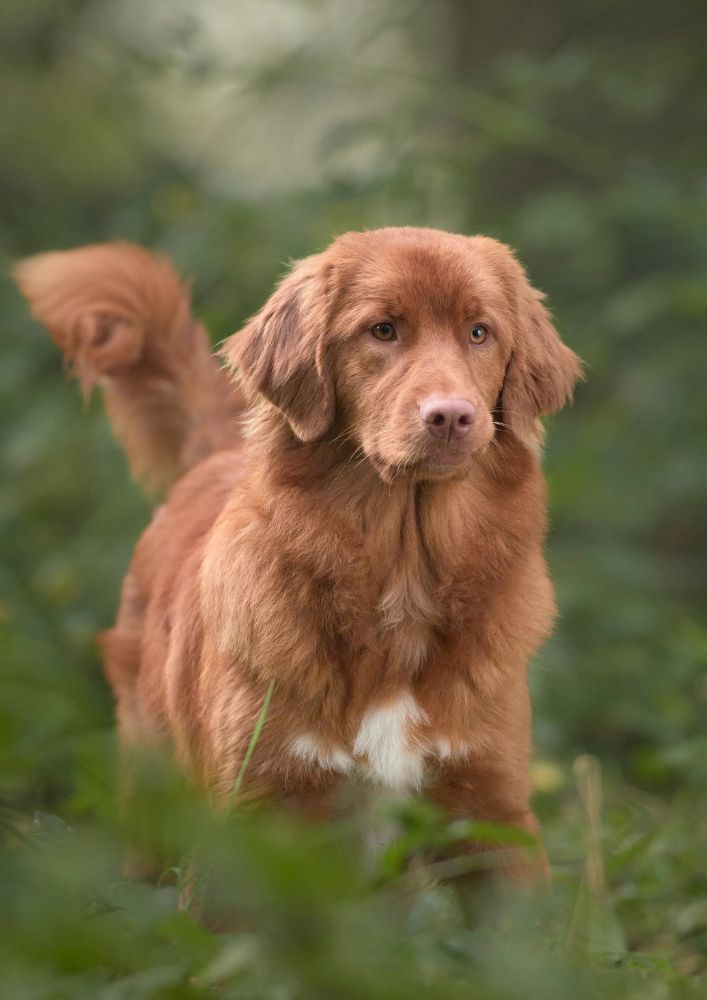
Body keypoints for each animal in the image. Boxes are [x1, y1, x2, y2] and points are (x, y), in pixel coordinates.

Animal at [15, 229, 580, 884]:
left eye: (480, 332)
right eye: (383, 330)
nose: (451, 416)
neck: (401, 573)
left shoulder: (492, 814)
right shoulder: (253, 815)